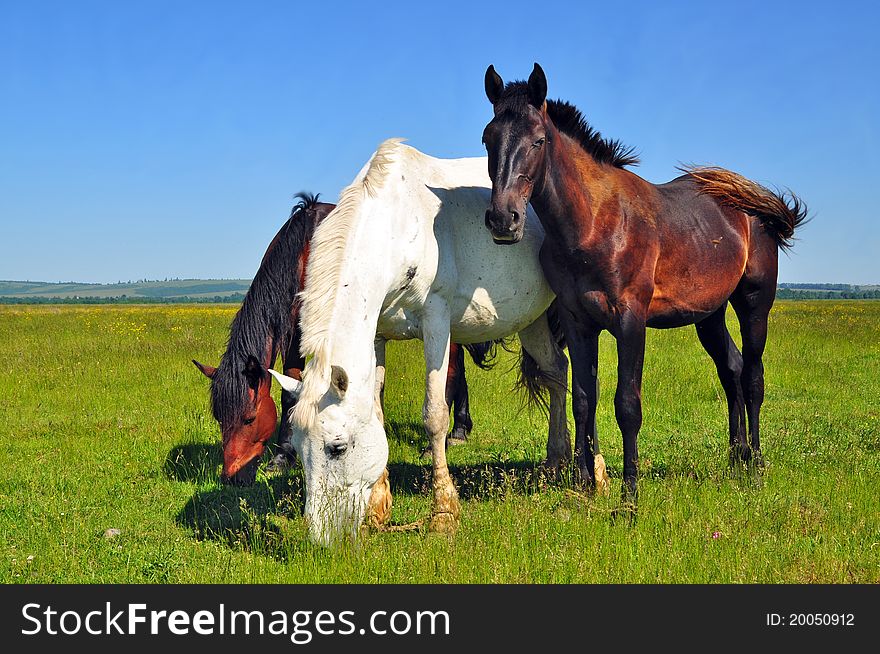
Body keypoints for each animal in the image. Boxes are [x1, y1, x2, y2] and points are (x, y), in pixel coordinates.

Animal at [264, 141, 600, 544]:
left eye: (337, 448)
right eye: (297, 448)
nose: (321, 538)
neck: (399, 226)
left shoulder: (437, 322)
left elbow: (435, 415)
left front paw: (443, 511)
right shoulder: (377, 335)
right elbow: (376, 410)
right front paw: (378, 507)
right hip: (531, 320)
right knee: (555, 372)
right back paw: (554, 461)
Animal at [484, 65, 808, 502]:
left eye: (538, 140)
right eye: (488, 139)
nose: (504, 219)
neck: (594, 223)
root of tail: (749, 207)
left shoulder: (629, 322)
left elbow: (627, 405)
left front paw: (629, 496)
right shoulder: (577, 321)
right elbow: (583, 399)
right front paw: (585, 485)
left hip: (754, 305)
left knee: (753, 377)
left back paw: (755, 467)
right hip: (709, 316)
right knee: (732, 371)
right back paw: (735, 460)